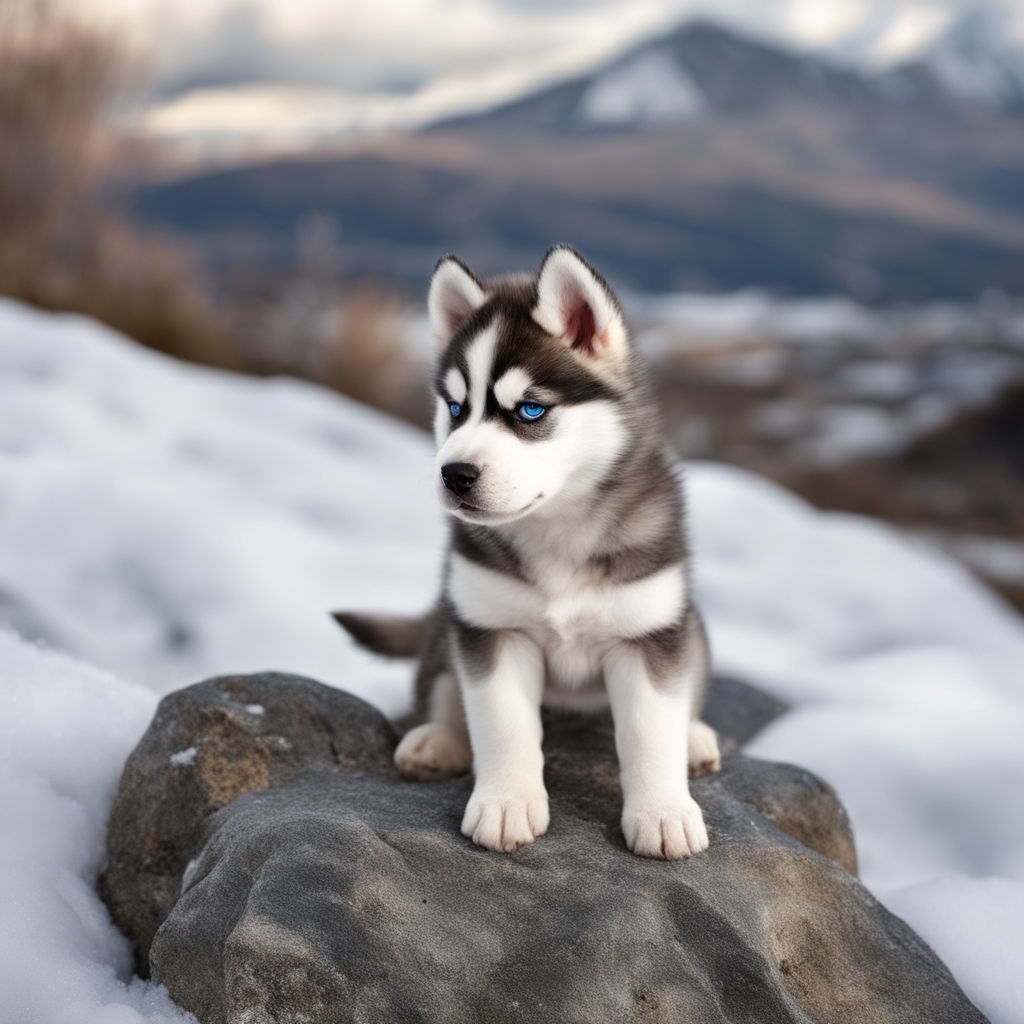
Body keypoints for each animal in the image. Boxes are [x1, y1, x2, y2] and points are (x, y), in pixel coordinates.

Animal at [335, 245, 720, 856]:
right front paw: (506, 804)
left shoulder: (647, 631)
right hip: (452, 618)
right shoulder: (493, 628)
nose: (453, 474)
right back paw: (437, 739)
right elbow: (503, 723)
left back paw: (696, 737)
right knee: (442, 685)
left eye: (530, 410)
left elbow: (649, 730)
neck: (557, 528)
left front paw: (663, 812)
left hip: (689, 624)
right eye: (455, 408)